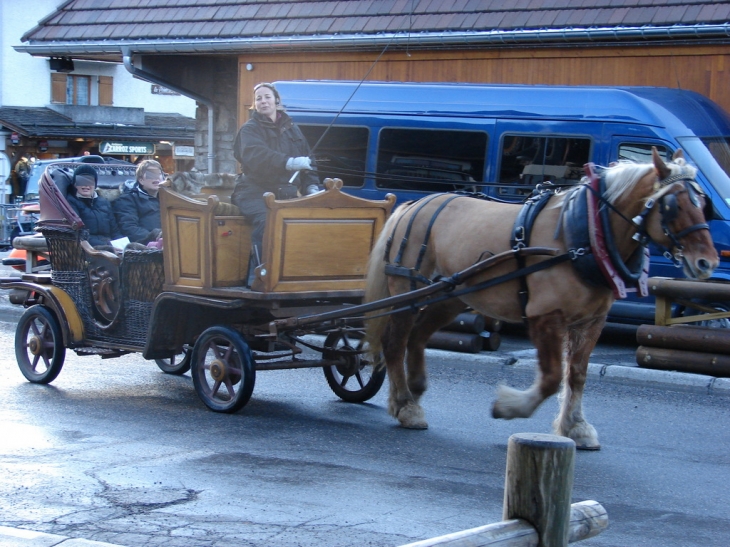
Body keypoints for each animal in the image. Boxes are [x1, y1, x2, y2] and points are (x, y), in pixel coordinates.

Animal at [362, 150, 712, 450]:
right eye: (673, 205)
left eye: (702, 202)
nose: (706, 262)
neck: (584, 232)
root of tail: (412, 205)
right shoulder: (545, 315)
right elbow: (552, 378)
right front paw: (509, 406)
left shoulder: (592, 321)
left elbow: (577, 375)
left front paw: (576, 426)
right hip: (406, 291)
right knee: (395, 343)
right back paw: (405, 406)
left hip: (448, 297)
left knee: (417, 338)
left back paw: (414, 391)